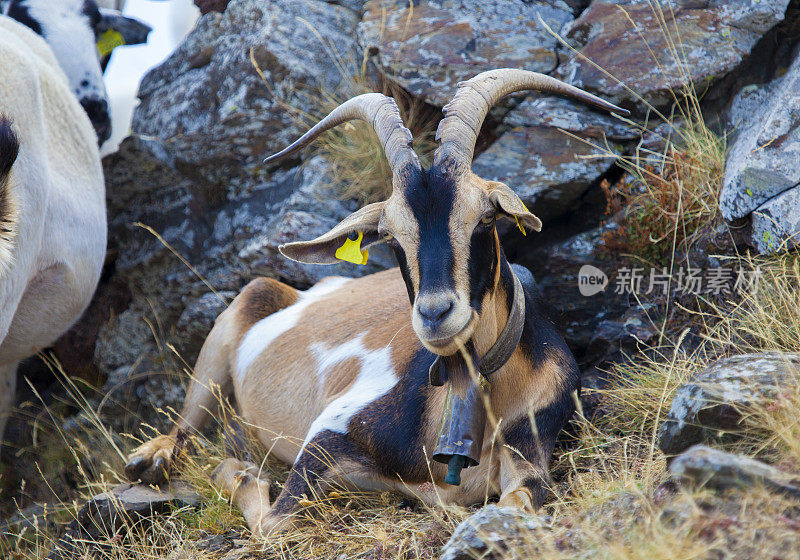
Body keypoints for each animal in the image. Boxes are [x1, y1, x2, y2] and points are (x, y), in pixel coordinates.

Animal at [125, 69, 628, 532]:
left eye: (486, 216)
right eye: (390, 236)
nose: (436, 314)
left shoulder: (531, 452)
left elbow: (519, 500)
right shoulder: (327, 434)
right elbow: (271, 521)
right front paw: (245, 471)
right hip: (230, 330)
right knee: (186, 425)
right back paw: (148, 460)